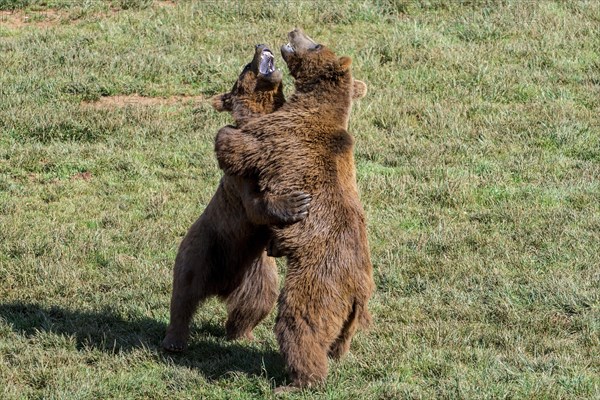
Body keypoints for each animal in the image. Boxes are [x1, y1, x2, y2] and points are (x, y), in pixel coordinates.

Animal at [162, 43, 312, 352]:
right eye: (245, 66)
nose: (260, 45)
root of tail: (222, 286)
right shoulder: (241, 173)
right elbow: (255, 204)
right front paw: (296, 203)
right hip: (204, 246)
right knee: (184, 292)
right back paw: (175, 340)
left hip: (257, 270)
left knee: (257, 302)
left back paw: (242, 334)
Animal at [214, 28, 376, 390]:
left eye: (316, 43)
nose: (294, 31)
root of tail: (357, 291)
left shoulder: (281, 136)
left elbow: (245, 143)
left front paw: (227, 133)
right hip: (349, 317)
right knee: (338, 339)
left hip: (317, 281)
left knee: (300, 324)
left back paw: (298, 379)